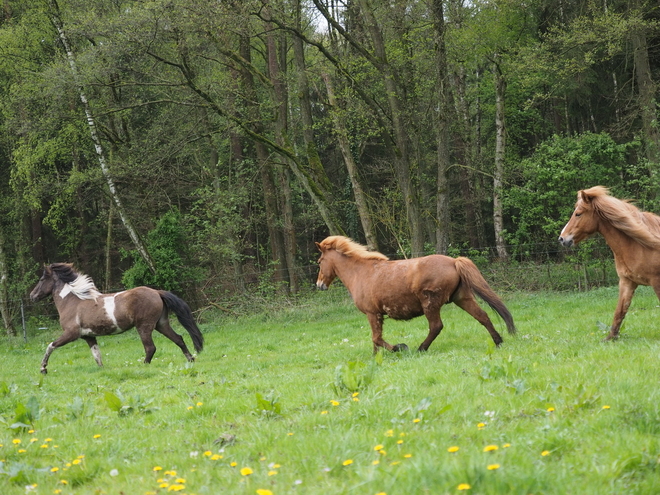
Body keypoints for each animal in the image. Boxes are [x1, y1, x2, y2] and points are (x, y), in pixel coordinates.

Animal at [29, 266, 204, 374]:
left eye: (41, 279)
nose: (32, 296)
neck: (73, 302)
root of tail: (156, 292)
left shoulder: (71, 334)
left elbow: (50, 346)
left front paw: (43, 369)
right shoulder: (89, 336)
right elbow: (97, 355)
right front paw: (102, 370)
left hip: (144, 326)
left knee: (150, 348)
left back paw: (143, 365)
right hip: (161, 324)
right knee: (179, 339)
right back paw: (191, 359)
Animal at [314, 236, 516, 352]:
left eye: (319, 261)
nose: (319, 285)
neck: (361, 272)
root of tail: (453, 261)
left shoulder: (373, 313)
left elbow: (376, 338)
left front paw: (399, 348)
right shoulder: (375, 315)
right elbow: (375, 341)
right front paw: (376, 358)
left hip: (430, 304)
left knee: (436, 326)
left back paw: (421, 348)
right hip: (462, 299)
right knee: (483, 316)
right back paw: (498, 342)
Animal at [560, 186, 660, 340]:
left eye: (578, 214)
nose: (562, 238)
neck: (641, 245)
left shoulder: (656, 281)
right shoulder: (627, 282)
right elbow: (620, 311)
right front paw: (610, 338)